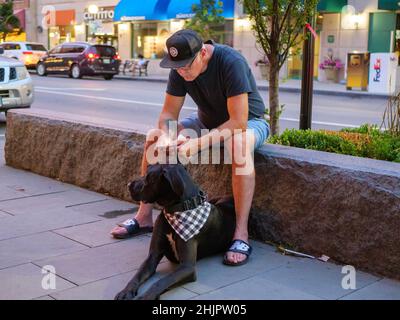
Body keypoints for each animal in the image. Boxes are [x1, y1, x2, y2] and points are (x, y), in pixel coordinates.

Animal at [114, 164, 236, 302]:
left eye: (148, 177)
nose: (128, 184)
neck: (174, 210)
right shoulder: (152, 256)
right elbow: (137, 275)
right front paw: (126, 291)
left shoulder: (187, 267)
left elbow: (162, 281)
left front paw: (146, 296)